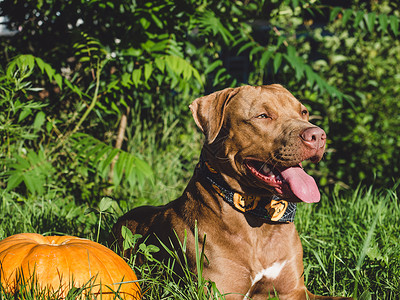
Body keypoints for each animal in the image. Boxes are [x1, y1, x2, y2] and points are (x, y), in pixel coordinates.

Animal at [113, 85, 354, 300]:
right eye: (263, 115)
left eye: (303, 112)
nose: (318, 135)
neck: (259, 217)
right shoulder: (221, 292)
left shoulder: (295, 291)